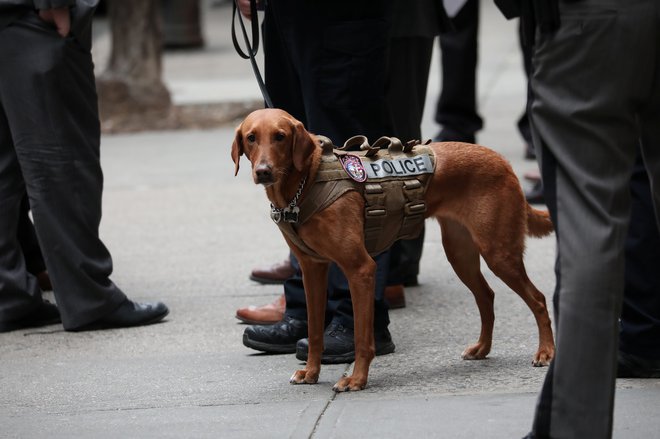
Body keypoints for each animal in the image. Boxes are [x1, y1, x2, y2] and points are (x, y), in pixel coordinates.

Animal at [229, 109, 556, 392]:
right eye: (251, 137)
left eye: (280, 136)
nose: (263, 171)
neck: (306, 182)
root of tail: (502, 161)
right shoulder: (312, 269)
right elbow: (315, 331)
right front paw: (311, 372)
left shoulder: (360, 269)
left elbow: (362, 336)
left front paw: (356, 379)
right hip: (460, 254)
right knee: (486, 296)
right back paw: (482, 348)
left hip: (499, 253)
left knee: (538, 299)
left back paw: (546, 351)